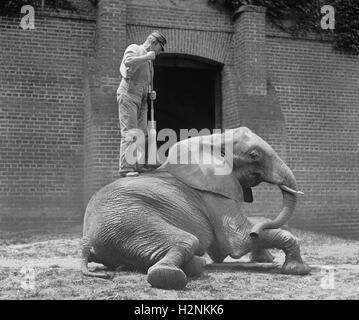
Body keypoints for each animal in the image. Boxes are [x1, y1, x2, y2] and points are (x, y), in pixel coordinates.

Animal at [81, 126, 310, 288]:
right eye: (254, 155)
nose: (257, 233)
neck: (216, 139)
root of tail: (87, 243)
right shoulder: (212, 194)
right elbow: (237, 242)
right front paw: (298, 270)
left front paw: (265, 257)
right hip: (129, 222)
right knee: (187, 240)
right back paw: (171, 274)